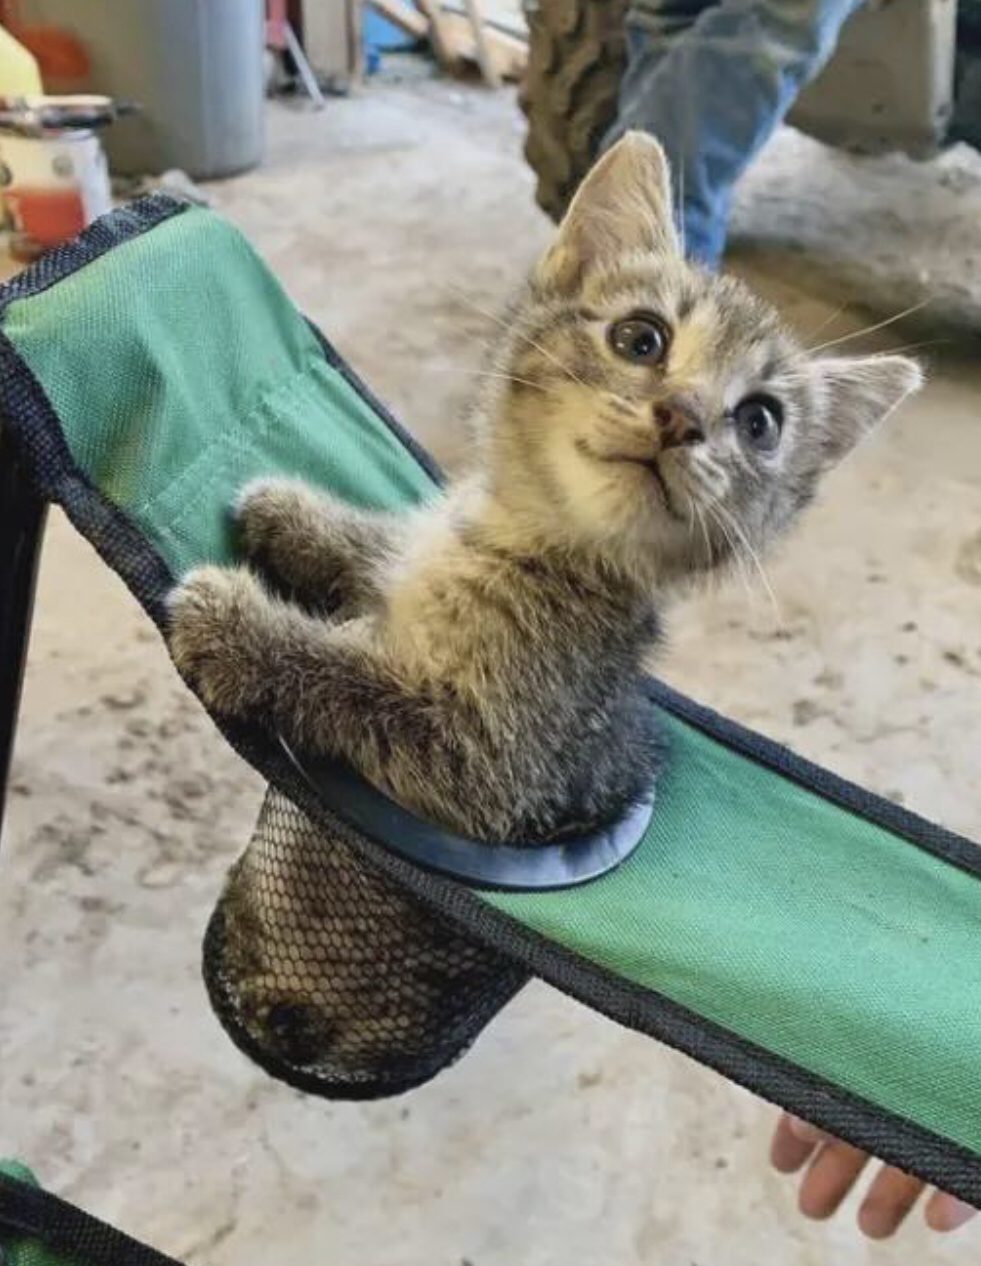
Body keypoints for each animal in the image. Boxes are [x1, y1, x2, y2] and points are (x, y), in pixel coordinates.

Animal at [168, 130, 921, 847]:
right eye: (641, 338)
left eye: (760, 422)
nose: (681, 416)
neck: (528, 537)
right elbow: (389, 548)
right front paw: (295, 515)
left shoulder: (492, 773)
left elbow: (355, 685)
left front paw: (241, 626)